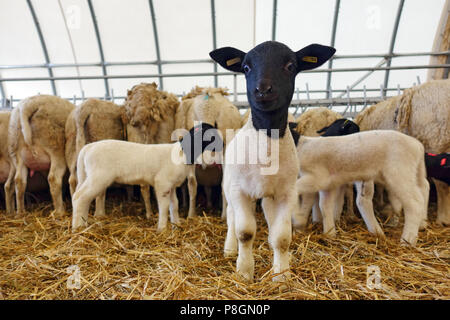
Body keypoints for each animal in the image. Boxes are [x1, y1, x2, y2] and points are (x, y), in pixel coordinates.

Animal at [71, 124, 223, 231]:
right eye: (211, 137)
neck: (181, 154)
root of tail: (88, 148)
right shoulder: (162, 183)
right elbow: (164, 206)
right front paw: (162, 229)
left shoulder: (171, 185)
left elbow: (174, 204)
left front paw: (176, 225)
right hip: (98, 176)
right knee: (80, 196)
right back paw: (77, 227)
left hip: (87, 176)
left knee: (81, 196)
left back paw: (82, 223)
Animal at [209, 41, 336, 282]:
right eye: (246, 67)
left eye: (290, 66)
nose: (263, 90)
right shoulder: (239, 191)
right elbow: (245, 232)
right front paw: (244, 272)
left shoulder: (287, 192)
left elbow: (282, 237)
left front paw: (281, 275)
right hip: (229, 187)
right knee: (231, 217)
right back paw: (230, 249)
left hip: (269, 193)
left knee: (267, 213)